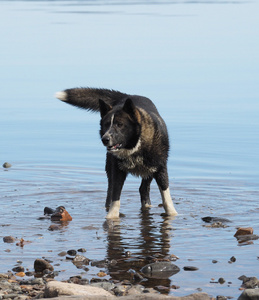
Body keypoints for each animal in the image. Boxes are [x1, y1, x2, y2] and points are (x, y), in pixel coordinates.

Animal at [55, 88, 179, 219]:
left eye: (120, 124)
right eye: (106, 124)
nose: (105, 139)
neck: (135, 147)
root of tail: (127, 96)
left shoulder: (160, 169)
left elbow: (166, 195)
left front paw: (172, 213)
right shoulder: (118, 171)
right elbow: (116, 195)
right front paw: (112, 216)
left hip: (148, 171)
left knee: (143, 189)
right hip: (110, 167)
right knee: (110, 192)